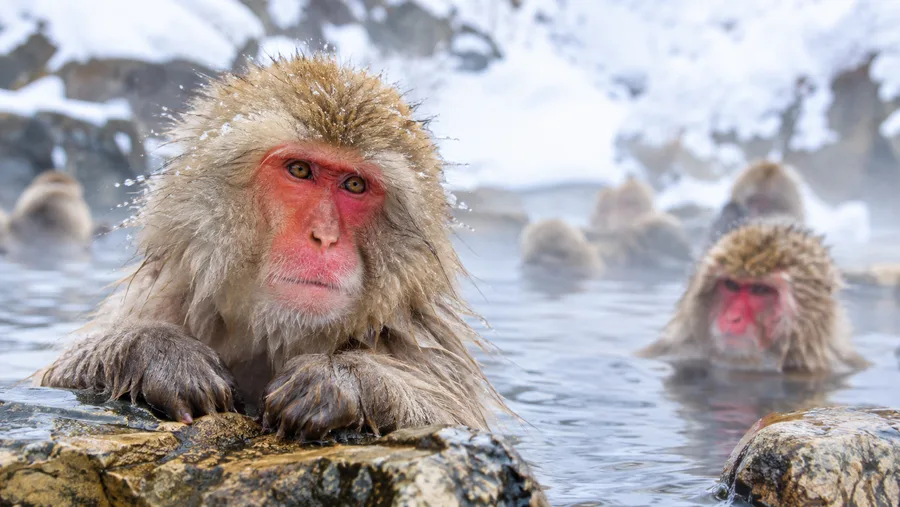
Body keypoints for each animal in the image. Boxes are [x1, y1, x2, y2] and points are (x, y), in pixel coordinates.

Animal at [38, 54, 507, 442]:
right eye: (299, 170)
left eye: (354, 185)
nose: (324, 236)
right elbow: (50, 376)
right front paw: (160, 352)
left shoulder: (425, 345)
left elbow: (453, 417)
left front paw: (340, 378)